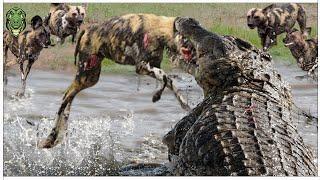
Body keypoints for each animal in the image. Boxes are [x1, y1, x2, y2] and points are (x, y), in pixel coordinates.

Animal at [37, 12, 182, 148]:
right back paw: (52, 137)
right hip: (85, 76)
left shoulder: (153, 67)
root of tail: (85, 30)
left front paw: (181, 102)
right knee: (66, 98)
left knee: (69, 97)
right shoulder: (142, 67)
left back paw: (58, 136)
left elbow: (169, 82)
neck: (159, 27)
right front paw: (160, 97)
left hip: (90, 78)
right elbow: (165, 78)